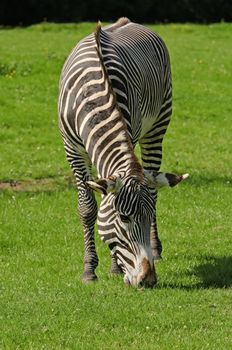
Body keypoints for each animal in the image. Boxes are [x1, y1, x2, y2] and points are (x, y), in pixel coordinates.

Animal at [58, 17, 188, 288]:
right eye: (124, 218)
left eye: (145, 218)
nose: (147, 280)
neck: (93, 97)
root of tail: (126, 21)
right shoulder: (72, 150)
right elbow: (88, 209)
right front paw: (89, 269)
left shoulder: (129, 133)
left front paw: (114, 268)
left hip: (156, 127)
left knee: (153, 189)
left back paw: (156, 249)